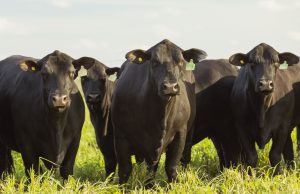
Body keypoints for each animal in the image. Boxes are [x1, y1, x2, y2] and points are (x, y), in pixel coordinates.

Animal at [0, 50, 88, 178]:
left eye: (72, 73)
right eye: (44, 73)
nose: (59, 99)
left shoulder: (75, 140)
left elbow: (67, 170)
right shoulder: (26, 144)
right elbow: (33, 172)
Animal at [111, 39, 207, 185]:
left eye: (180, 62)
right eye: (154, 62)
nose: (170, 87)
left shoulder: (180, 133)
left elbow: (171, 167)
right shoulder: (120, 135)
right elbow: (124, 170)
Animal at [231, 43, 298, 174]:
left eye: (276, 62)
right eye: (252, 62)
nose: (266, 84)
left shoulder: (283, 127)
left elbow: (275, 155)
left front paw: (277, 175)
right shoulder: (241, 128)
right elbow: (251, 157)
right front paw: (250, 176)